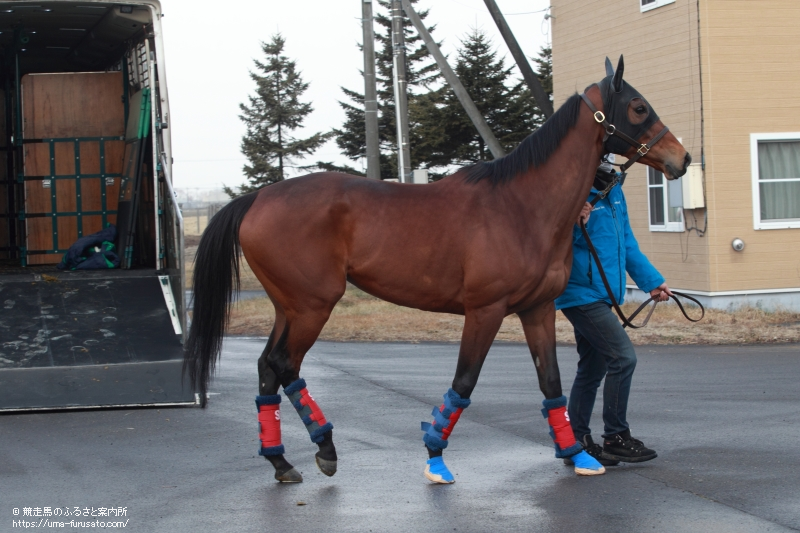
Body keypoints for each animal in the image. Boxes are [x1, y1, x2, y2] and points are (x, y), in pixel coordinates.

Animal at [184, 56, 692, 484]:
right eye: (639, 107)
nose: (682, 158)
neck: (521, 207)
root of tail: (258, 198)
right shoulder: (485, 311)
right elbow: (463, 383)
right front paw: (435, 457)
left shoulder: (539, 310)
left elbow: (551, 382)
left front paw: (576, 454)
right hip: (313, 306)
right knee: (284, 364)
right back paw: (325, 447)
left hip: (289, 308)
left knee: (267, 368)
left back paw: (281, 461)